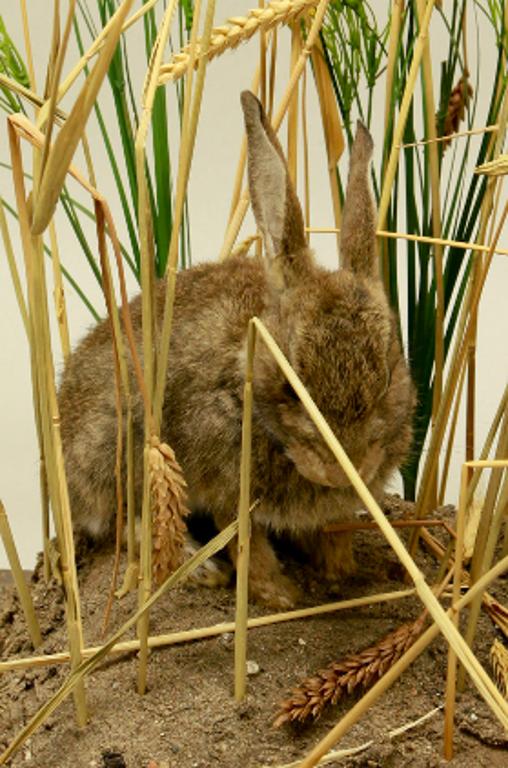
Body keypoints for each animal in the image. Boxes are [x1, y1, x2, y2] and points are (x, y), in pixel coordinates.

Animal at [58, 91, 414, 609]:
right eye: (290, 387)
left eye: (387, 379)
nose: (340, 467)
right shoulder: (224, 483)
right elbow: (247, 540)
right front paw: (280, 595)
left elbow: (330, 529)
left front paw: (339, 569)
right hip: (119, 448)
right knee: (133, 523)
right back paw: (201, 568)